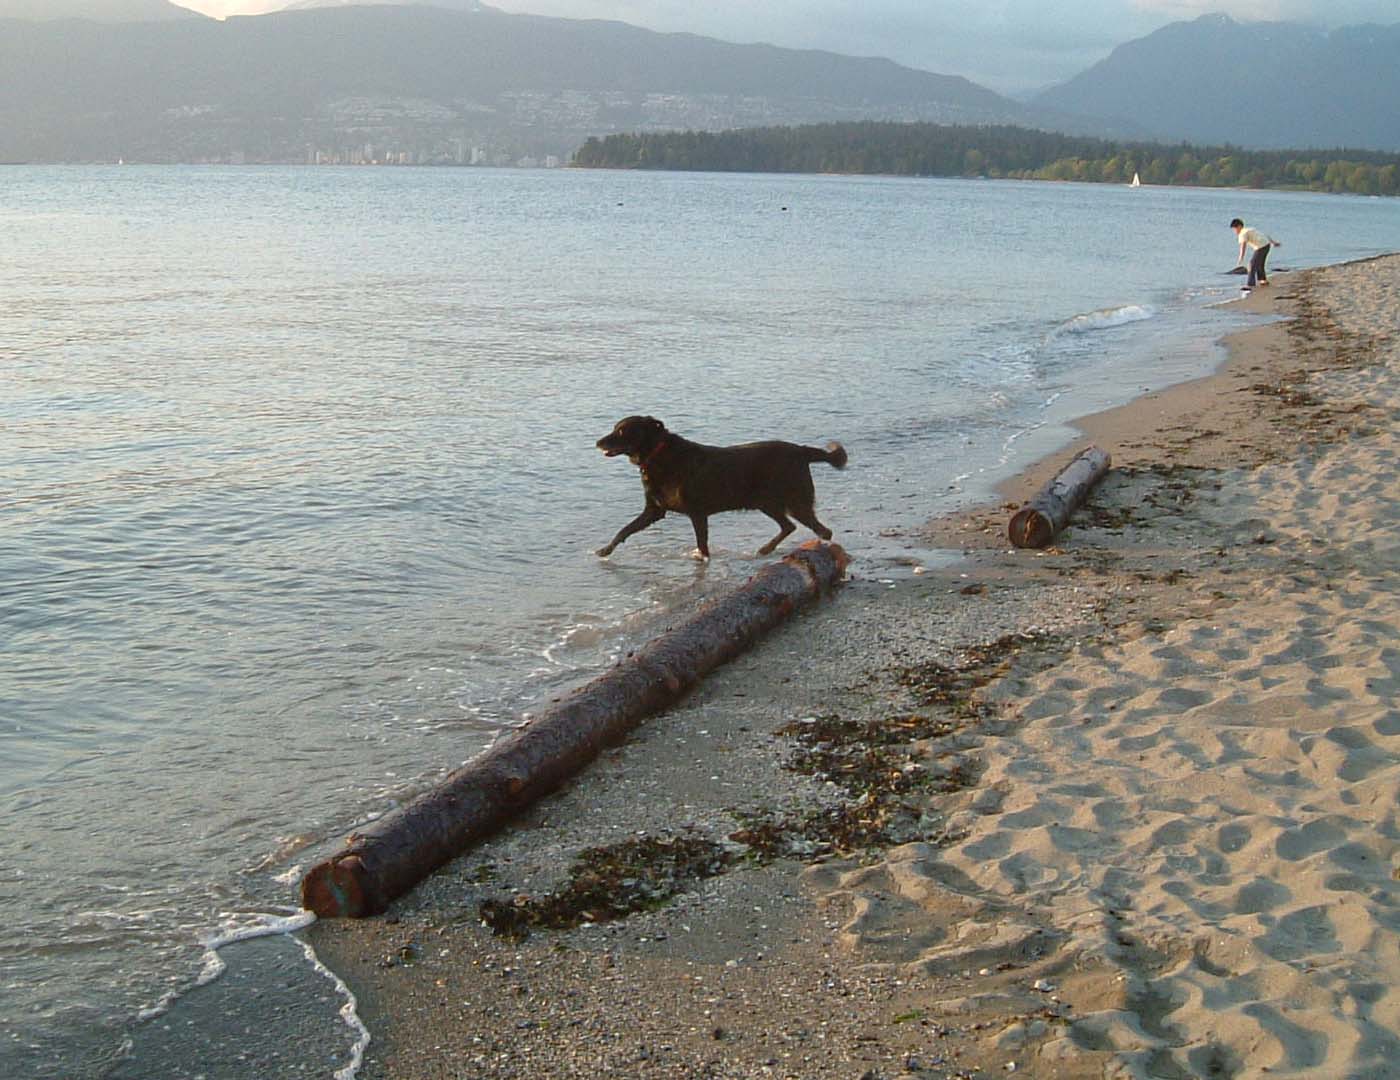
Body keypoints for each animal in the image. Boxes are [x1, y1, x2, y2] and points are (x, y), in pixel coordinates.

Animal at [596, 414, 845, 563]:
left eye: (622, 431)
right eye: (615, 428)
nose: (597, 442)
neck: (657, 454)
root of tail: (802, 451)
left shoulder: (697, 512)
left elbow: (702, 543)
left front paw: (702, 560)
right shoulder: (654, 510)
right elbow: (624, 530)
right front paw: (605, 550)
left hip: (794, 499)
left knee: (821, 530)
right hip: (766, 502)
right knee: (789, 526)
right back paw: (766, 549)